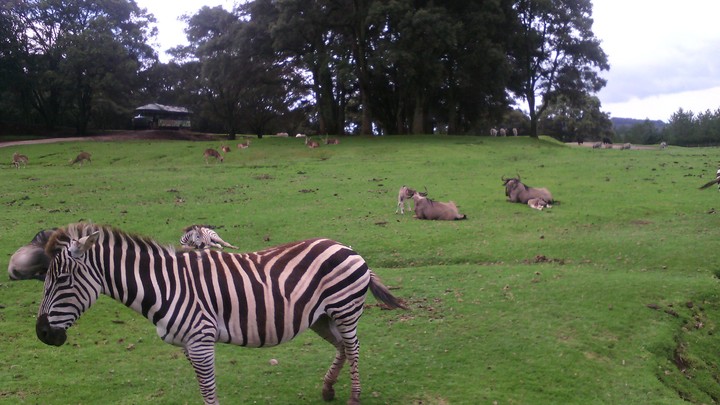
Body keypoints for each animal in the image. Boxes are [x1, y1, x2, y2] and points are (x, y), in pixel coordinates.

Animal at [36, 223, 407, 404]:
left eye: (62, 279)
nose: (42, 334)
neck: (164, 286)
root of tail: (346, 246)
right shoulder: (189, 345)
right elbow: (205, 390)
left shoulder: (200, 341)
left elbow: (209, 391)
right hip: (320, 316)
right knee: (343, 346)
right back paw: (328, 389)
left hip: (345, 309)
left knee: (354, 348)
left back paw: (354, 396)